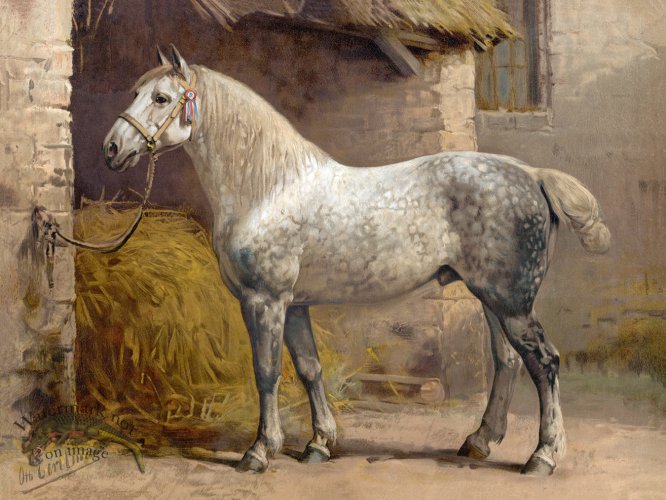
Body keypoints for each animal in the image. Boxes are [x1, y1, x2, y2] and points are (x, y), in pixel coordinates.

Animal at [102, 46, 610, 476]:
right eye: (135, 93)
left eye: (161, 98)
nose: (112, 149)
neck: (269, 188)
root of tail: (532, 174)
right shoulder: (294, 304)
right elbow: (309, 369)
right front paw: (319, 444)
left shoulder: (264, 300)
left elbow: (266, 372)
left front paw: (259, 451)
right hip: (491, 297)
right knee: (507, 360)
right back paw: (479, 442)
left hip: (511, 301)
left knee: (544, 362)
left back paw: (543, 456)